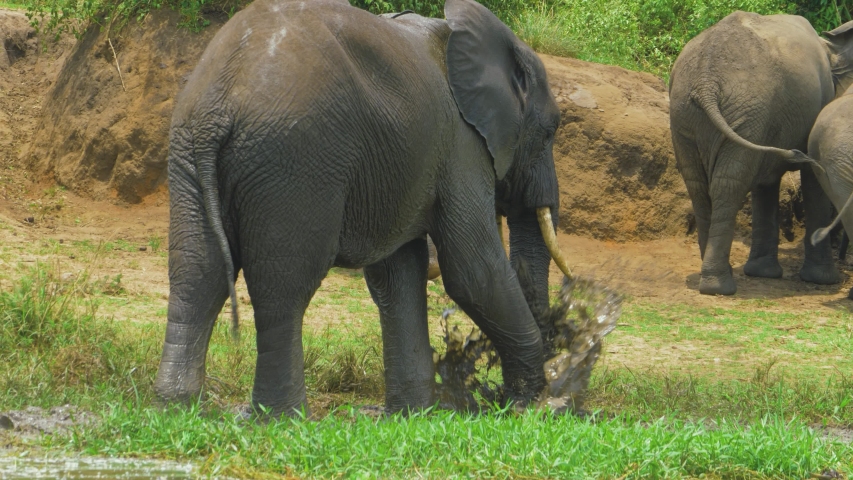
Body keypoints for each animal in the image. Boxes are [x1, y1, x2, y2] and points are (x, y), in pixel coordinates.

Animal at [153, 0, 572, 416]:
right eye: (551, 131)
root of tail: (218, 105)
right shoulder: (462, 145)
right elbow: (473, 269)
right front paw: (529, 405)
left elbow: (397, 273)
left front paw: (410, 416)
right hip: (293, 159)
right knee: (283, 285)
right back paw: (281, 418)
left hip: (189, 152)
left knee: (197, 272)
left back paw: (176, 406)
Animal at [668, 11, 848, 294]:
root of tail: (706, 82)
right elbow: (812, 178)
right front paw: (823, 280)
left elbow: (766, 182)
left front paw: (763, 274)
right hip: (741, 110)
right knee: (728, 184)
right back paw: (720, 287)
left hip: (690, 113)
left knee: (700, 185)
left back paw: (712, 280)